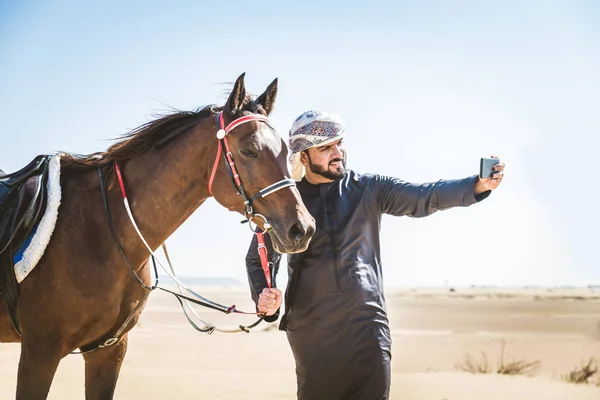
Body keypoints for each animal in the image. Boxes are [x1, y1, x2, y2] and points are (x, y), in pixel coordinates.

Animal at [0, 73, 316, 398]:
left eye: (286, 152)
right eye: (249, 150)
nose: (302, 228)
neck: (100, 232)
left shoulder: (107, 350)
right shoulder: (40, 352)